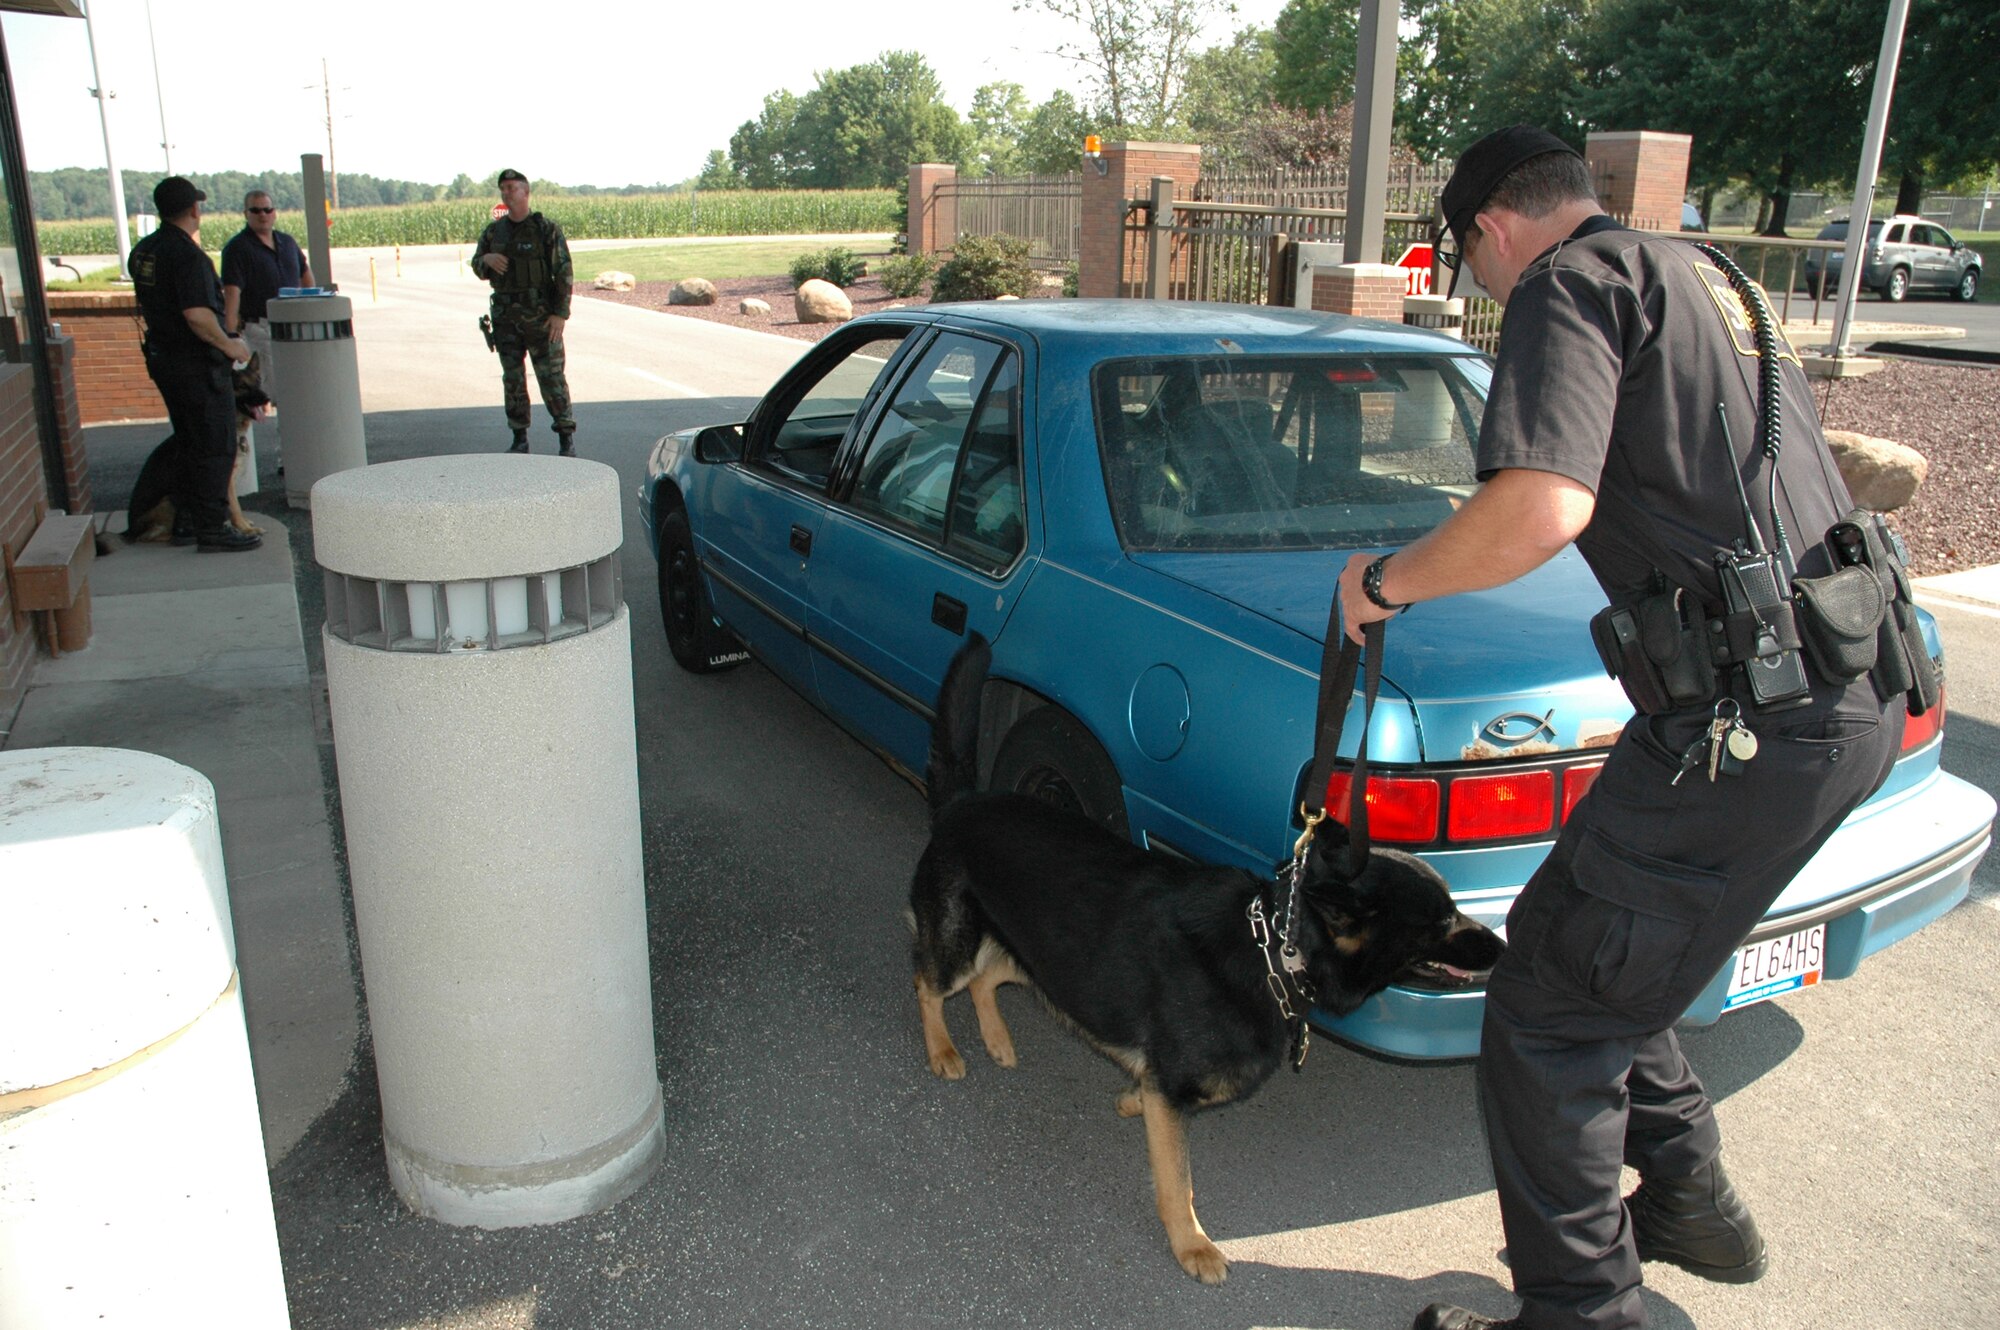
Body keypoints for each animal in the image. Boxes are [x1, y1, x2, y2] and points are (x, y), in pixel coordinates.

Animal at [122, 356, 270, 544]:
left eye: (258, 382)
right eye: (242, 386)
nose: (267, 398)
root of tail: (128, 530)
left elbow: (235, 504)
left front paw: (242, 524)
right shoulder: (225, 479)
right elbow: (235, 506)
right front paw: (245, 529)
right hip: (169, 500)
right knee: (147, 537)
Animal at [908, 640, 1504, 1280]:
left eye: (1453, 910)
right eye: (1441, 922)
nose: (1505, 944)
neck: (1274, 950)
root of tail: (965, 801)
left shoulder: (1162, 1080)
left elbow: (1151, 1105)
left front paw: (1130, 1101)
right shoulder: (1173, 1092)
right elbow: (1178, 1179)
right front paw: (1190, 1243)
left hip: (1048, 953)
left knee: (988, 976)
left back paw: (995, 1039)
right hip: (961, 940)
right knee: (929, 980)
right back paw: (943, 1049)